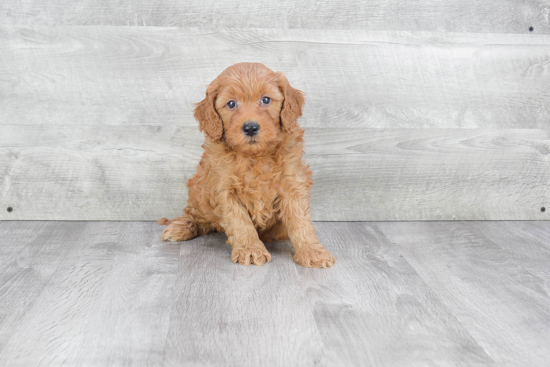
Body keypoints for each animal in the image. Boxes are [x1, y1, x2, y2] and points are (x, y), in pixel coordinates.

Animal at [160, 63, 336, 268]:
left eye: (266, 100)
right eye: (231, 104)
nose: (250, 127)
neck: (255, 155)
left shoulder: (293, 183)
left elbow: (301, 220)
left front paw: (312, 251)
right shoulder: (224, 189)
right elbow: (240, 222)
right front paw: (251, 250)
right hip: (199, 192)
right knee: (195, 216)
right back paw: (180, 227)